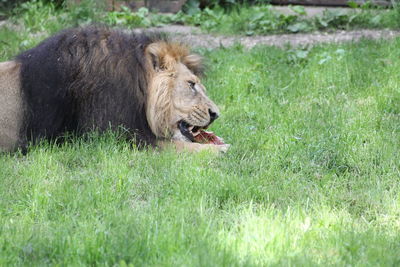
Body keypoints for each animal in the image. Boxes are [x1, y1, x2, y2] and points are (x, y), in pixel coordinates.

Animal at [0, 26, 228, 155]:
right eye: (191, 84)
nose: (215, 113)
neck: (139, 88)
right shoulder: (108, 136)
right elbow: (171, 146)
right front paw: (220, 150)